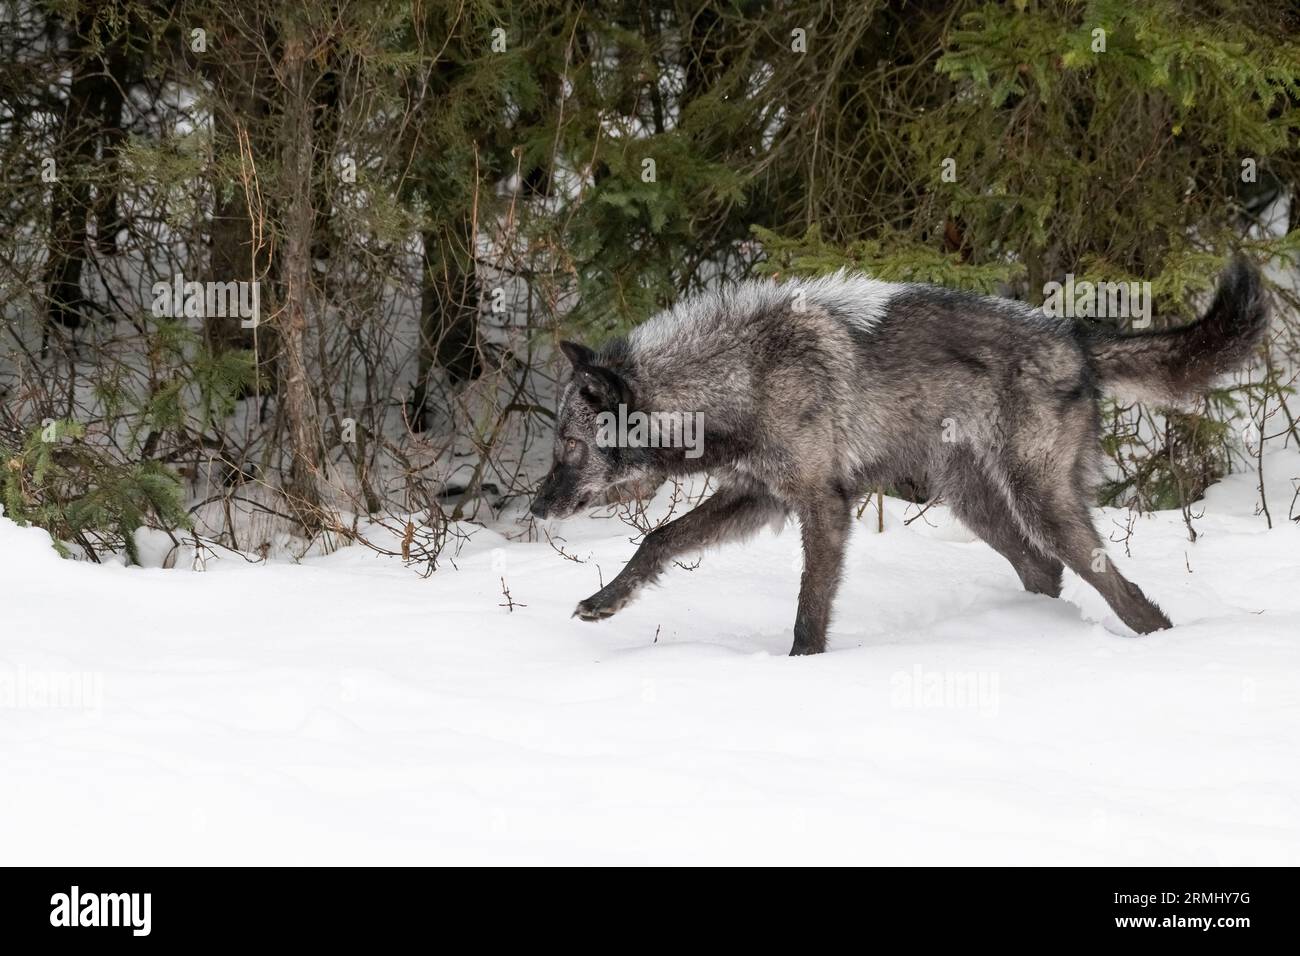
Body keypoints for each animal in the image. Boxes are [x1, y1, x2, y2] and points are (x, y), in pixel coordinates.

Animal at [530, 258, 1267, 655]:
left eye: (570, 444)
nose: (536, 507)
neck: (742, 374)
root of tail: (1077, 337)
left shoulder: (824, 505)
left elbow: (810, 605)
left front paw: (799, 669)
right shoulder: (759, 497)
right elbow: (658, 539)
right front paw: (604, 602)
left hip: (1040, 503)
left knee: (1122, 591)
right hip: (975, 503)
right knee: (1044, 572)